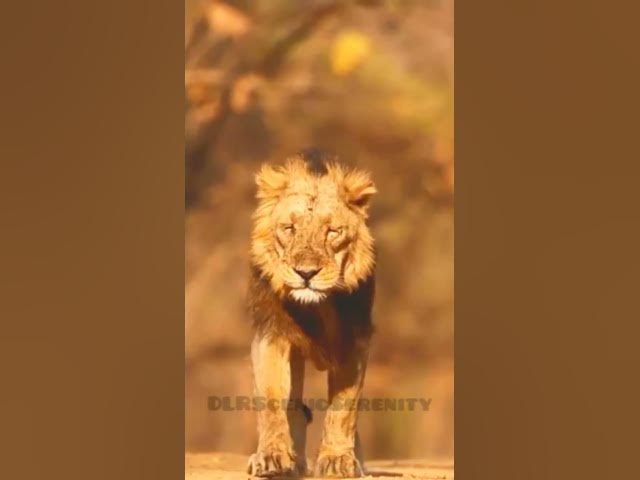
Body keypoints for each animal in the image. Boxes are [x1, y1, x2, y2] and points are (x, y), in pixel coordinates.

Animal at [247, 149, 377, 478]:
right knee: (294, 406)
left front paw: (338, 459)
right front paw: (272, 456)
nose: (306, 273)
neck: (316, 307)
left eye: (332, 231)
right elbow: (271, 399)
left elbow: (344, 407)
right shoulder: (272, 332)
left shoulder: (354, 340)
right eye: (289, 228)